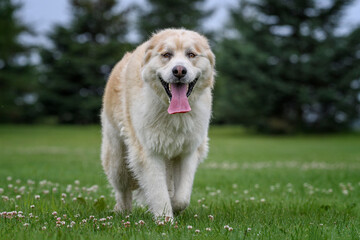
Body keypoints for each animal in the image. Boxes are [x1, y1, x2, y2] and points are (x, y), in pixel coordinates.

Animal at [100, 28, 215, 219]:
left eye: (191, 55)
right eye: (166, 55)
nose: (179, 71)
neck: (173, 114)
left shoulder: (188, 152)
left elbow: (182, 197)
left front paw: (174, 206)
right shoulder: (149, 153)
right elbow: (158, 192)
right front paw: (165, 220)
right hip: (118, 161)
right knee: (123, 190)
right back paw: (123, 211)